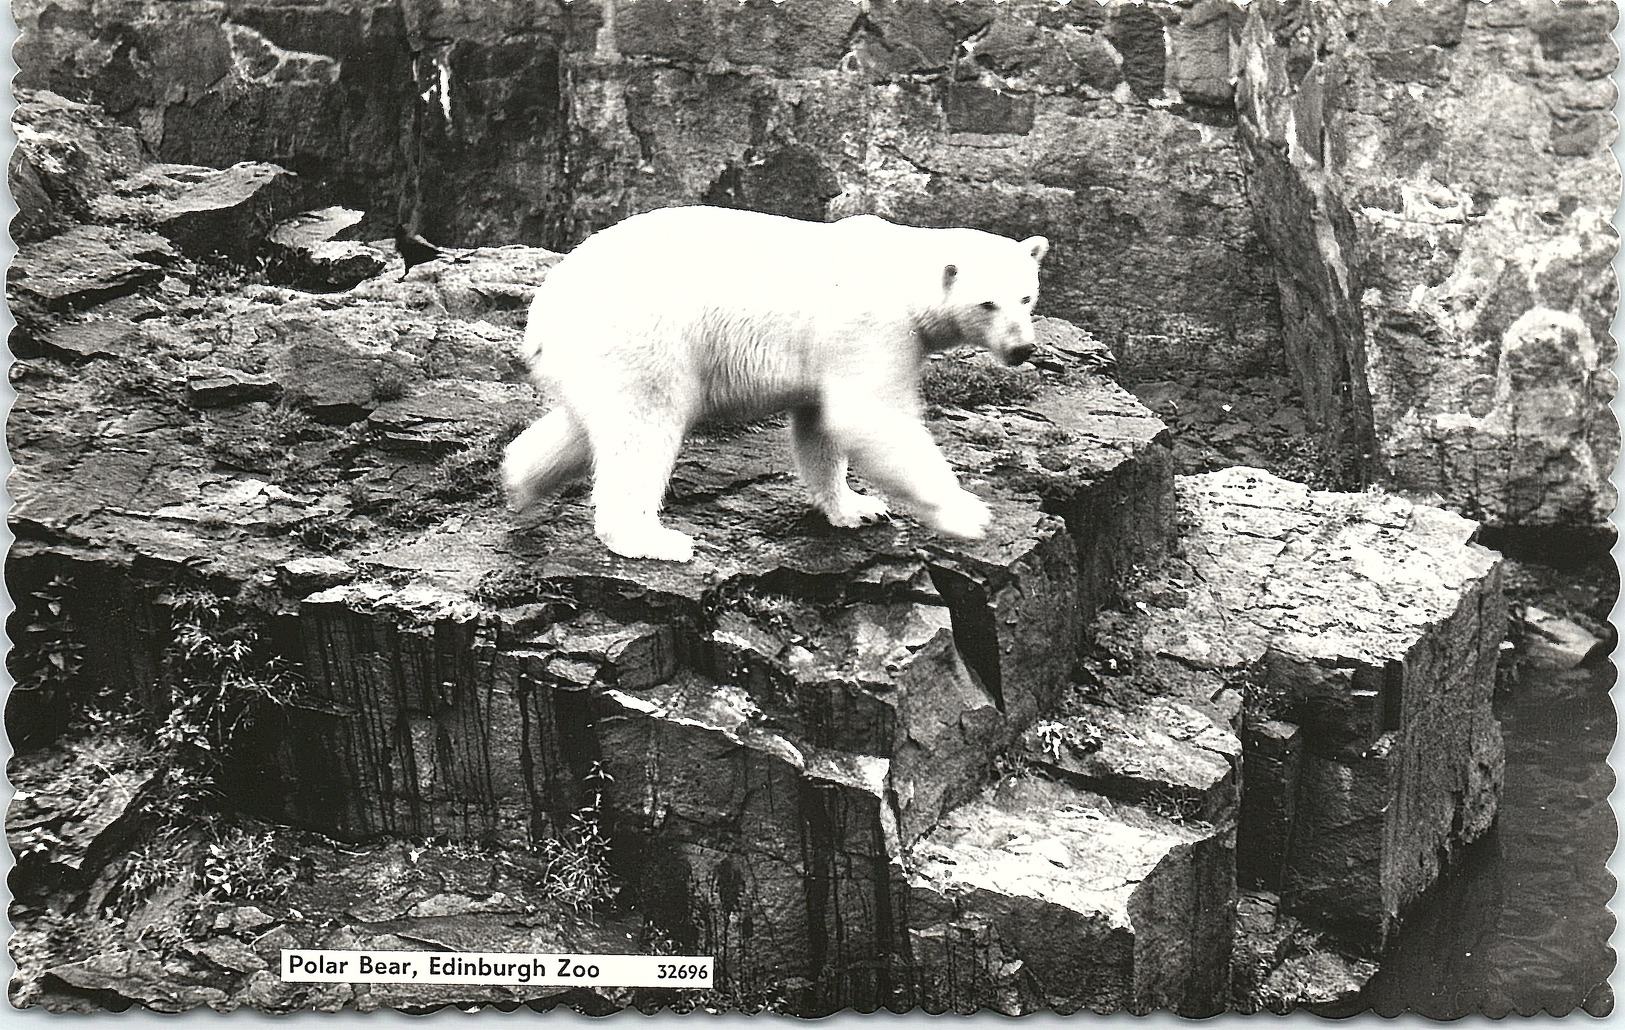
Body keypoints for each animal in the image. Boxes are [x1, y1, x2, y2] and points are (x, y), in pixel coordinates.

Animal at [500, 204, 1046, 562]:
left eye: (1027, 296)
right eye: (987, 303)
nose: (1023, 348)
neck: (897, 271)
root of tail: (543, 313)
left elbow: (820, 427)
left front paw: (858, 507)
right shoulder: (870, 327)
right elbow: (869, 418)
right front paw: (967, 514)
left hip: (591, 356)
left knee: (584, 426)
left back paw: (520, 481)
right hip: (642, 335)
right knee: (644, 426)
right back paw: (651, 539)